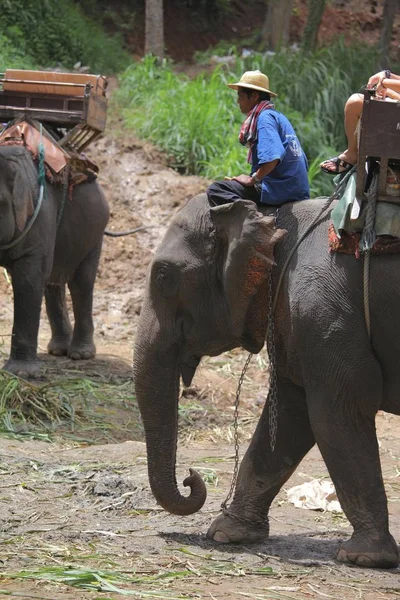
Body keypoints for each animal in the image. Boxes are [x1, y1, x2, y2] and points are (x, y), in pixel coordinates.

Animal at [0, 144, 109, 376]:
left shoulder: (38, 216)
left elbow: (29, 280)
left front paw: (21, 374)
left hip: (93, 233)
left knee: (80, 283)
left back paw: (80, 354)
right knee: (53, 282)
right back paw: (59, 350)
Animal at [134, 192, 400, 568]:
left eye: (163, 276)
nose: (190, 477)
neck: (274, 217)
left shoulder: (324, 316)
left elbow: (335, 416)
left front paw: (365, 557)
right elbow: (289, 418)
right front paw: (227, 534)